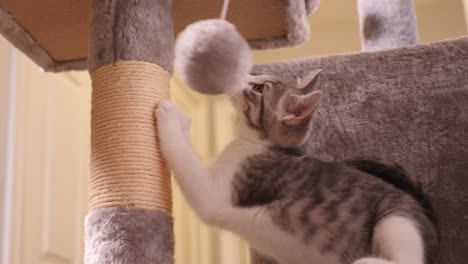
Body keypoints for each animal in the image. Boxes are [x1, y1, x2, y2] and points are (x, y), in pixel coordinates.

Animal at [156, 70, 438, 264]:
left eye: (258, 87)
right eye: (257, 76)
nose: (242, 71)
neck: (259, 145)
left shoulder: (217, 194)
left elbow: (186, 160)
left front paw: (171, 114)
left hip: (396, 221)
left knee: (405, 260)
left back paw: (366, 261)